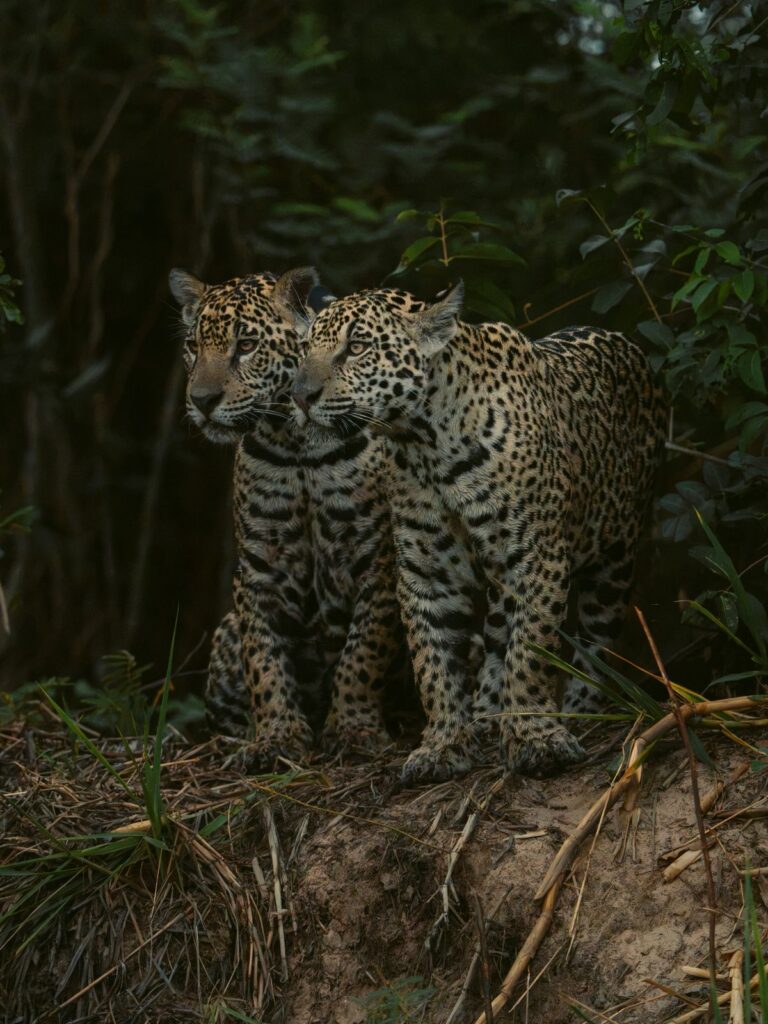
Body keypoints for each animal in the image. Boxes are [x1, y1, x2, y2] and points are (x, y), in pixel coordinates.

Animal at [169, 266, 403, 764]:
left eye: (246, 345)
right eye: (193, 346)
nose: (201, 400)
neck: (295, 443)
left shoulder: (378, 557)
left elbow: (363, 650)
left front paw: (353, 728)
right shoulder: (260, 564)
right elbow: (264, 657)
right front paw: (276, 736)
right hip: (224, 635)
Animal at [293, 281, 667, 783]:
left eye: (356, 348)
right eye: (306, 349)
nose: (300, 396)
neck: (427, 443)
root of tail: (623, 341)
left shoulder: (538, 557)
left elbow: (531, 652)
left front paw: (536, 739)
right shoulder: (425, 571)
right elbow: (433, 662)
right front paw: (443, 744)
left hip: (615, 558)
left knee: (594, 639)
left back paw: (579, 711)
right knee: (496, 634)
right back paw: (489, 713)